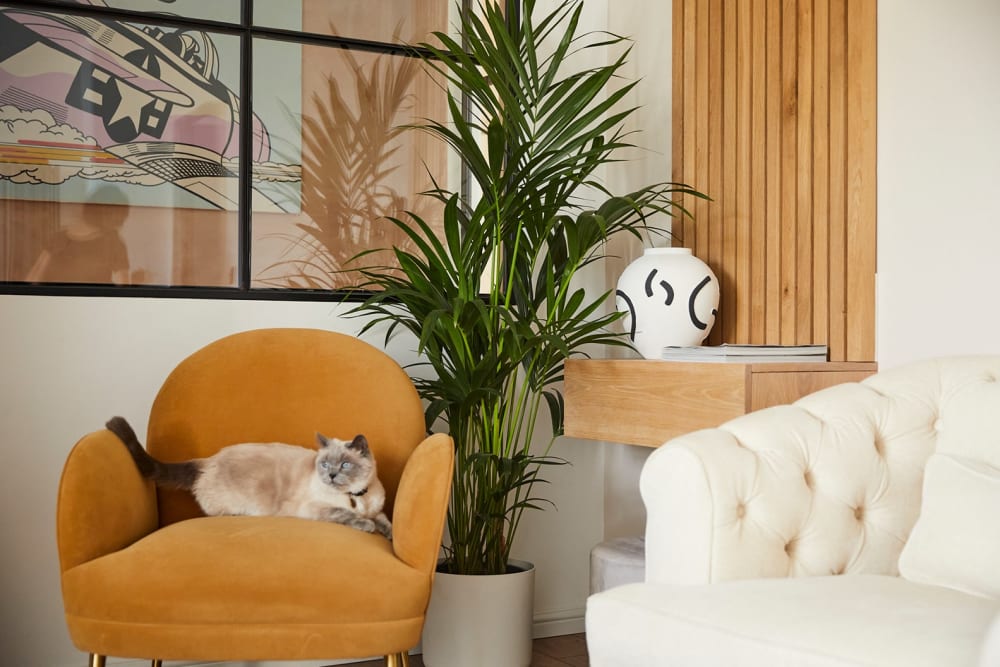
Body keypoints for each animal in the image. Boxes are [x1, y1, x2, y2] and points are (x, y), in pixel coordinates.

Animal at [106, 414, 390, 540]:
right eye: (325, 464)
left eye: (344, 465)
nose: (330, 475)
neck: (357, 497)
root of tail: (207, 460)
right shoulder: (317, 509)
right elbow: (346, 515)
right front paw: (367, 526)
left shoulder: (377, 509)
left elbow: (385, 521)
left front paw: (387, 533)